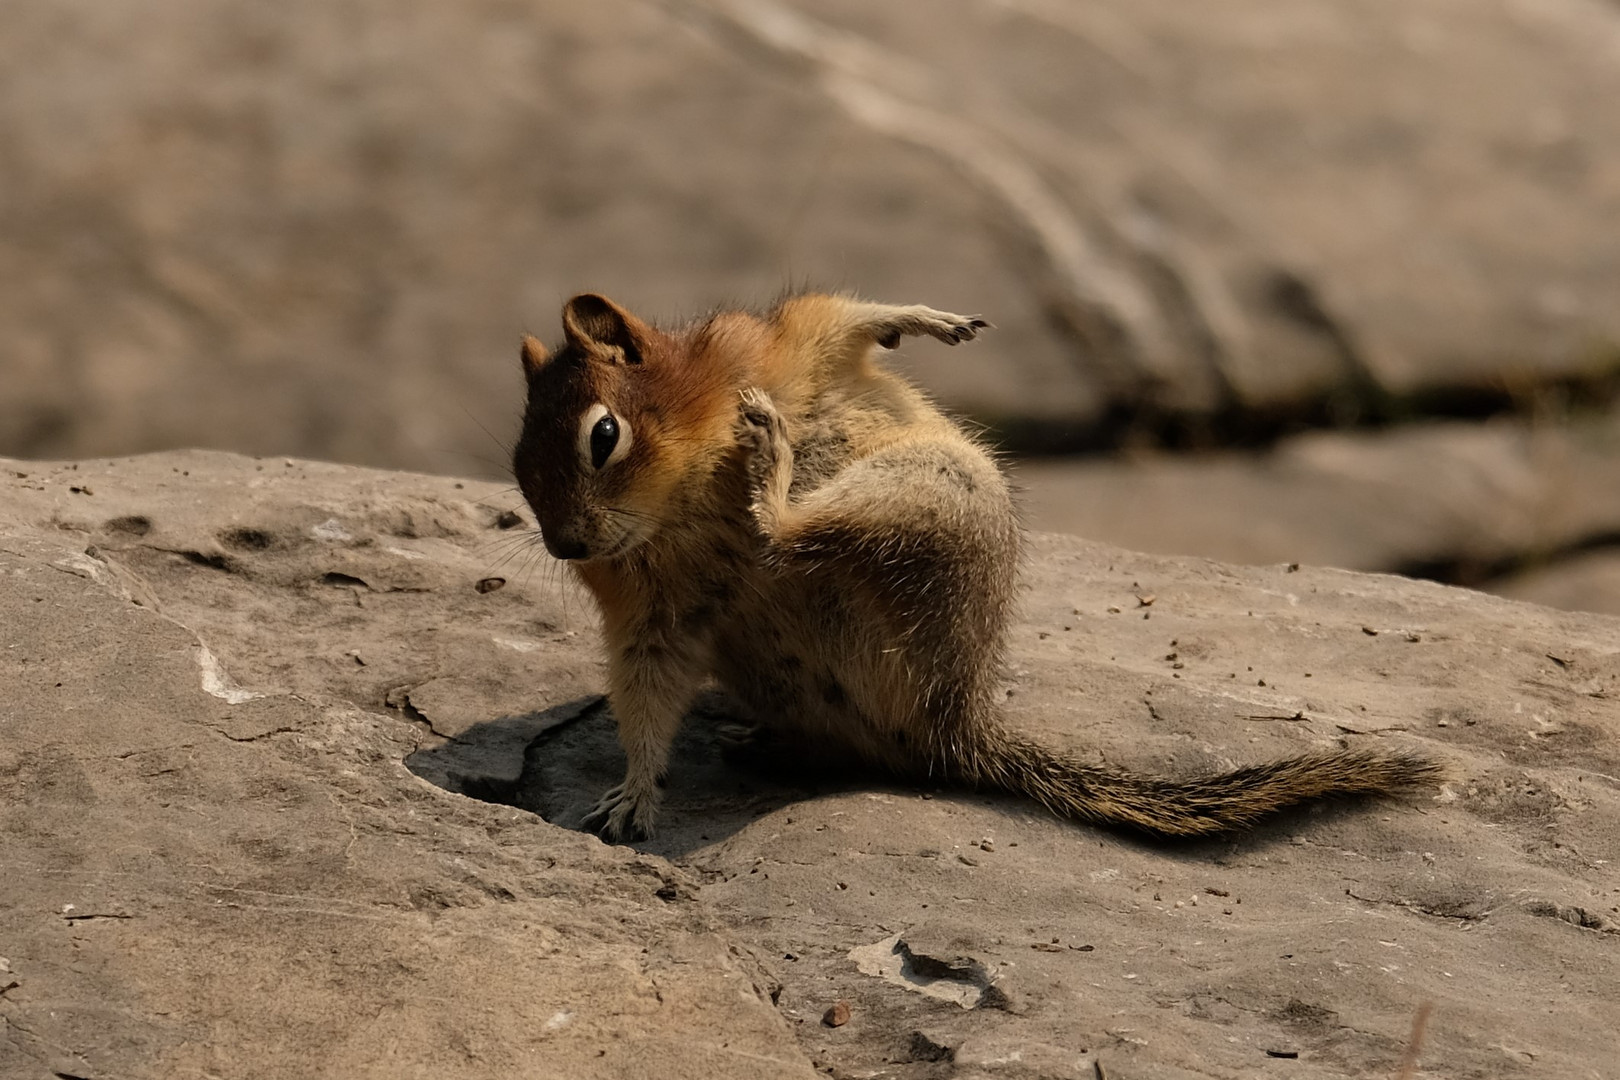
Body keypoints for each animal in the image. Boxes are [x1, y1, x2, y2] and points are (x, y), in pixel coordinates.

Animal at [511, 291, 1438, 841]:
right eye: (519, 463)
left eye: (604, 435)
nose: (566, 547)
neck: (683, 498)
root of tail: (958, 722)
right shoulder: (651, 616)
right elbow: (644, 690)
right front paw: (632, 794)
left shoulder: (775, 347)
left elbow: (841, 316)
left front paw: (929, 321)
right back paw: (765, 737)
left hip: (929, 490)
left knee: (789, 534)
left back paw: (769, 464)